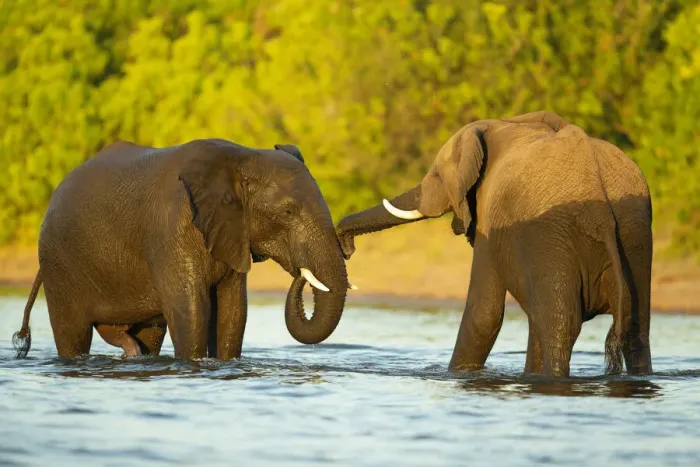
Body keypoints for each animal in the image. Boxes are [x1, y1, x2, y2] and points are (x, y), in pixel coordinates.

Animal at [13, 139, 354, 360]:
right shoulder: (172, 229)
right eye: (287, 212)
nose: (300, 274)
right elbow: (191, 312)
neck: (241, 159)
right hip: (59, 262)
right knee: (72, 335)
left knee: (148, 335)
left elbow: (233, 313)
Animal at [336, 111, 652, 378]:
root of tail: (601, 214)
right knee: (635, 327)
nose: (346, 248)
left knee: (561, 325)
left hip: (552, 236)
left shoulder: (491, 220)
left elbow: (483, 313)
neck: (500, 124)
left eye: (437, 176)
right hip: (633, 232)